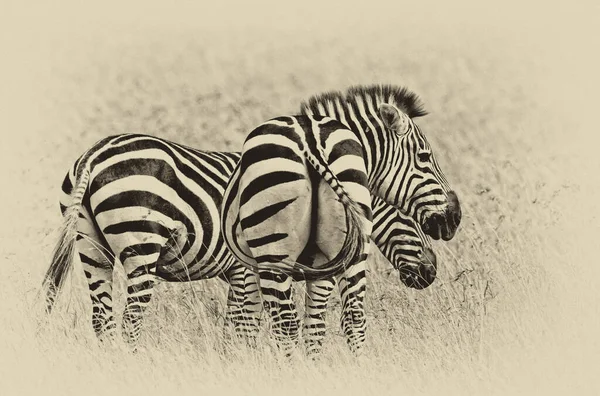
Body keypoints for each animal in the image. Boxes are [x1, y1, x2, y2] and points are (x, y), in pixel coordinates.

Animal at [41, 131, 436, 348]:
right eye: (408, 218)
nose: (431, 273)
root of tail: (96, 153)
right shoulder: (246, 271)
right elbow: (246, 328)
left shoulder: (240, 273)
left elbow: (237, 329)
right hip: (140, 241)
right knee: (130, 320)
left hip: (89, 246)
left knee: (102, 319)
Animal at [223, 85, 462, 354]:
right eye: (424, 156)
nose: (455, 217)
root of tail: (311, 142)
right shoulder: (251, 267)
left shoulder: (249, 266)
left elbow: (247, 321)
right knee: (345, 319)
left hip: (280, 251)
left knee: (292, 323)